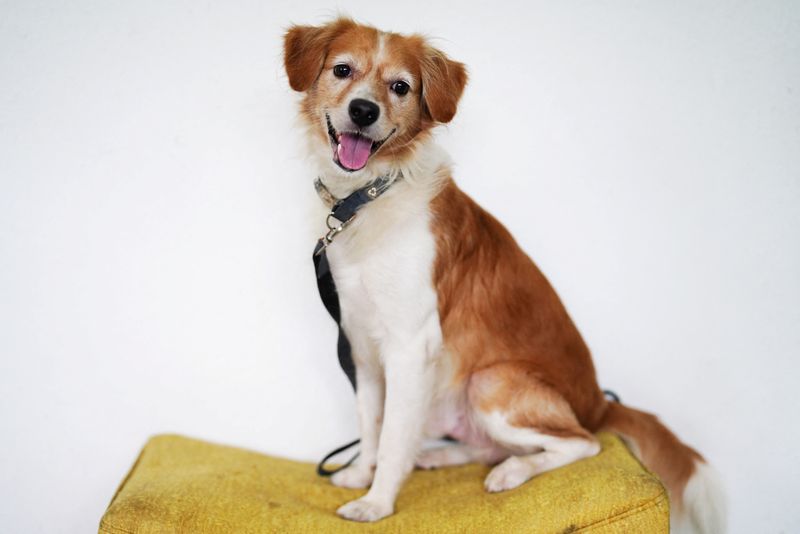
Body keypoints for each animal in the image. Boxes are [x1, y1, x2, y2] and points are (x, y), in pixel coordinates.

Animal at [282, 17, 724, 534]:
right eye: (342, 70)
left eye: (400, 87)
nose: (363, 110)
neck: (373, 194)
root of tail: (599, 403)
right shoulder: (362, 348)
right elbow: (371, 426)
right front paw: (359, 476)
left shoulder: (411, 346)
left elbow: (392, 437)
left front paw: (377, 503)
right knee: (489, 446)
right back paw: (442, 458)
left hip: (490, 382)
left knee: (582, 442)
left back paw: (512, 471)